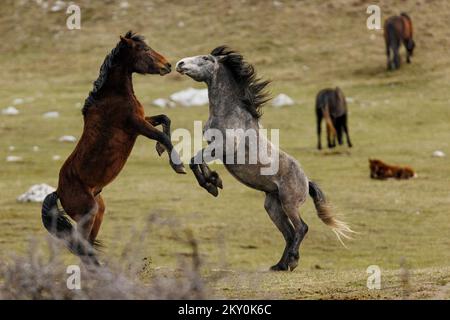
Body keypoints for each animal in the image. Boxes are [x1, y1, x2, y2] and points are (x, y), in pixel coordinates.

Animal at [40, 31, 185, 264]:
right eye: (144, 50)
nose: (168, 65)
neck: (114, 95)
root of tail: (59, 192)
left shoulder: (142, 121)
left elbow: (165, 118)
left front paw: (160, 149)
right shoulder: (136, 125)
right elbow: (163, 133)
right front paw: (177, 165)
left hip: (99, 212)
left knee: (86, 248)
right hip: (88, 214)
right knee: (82, 248)